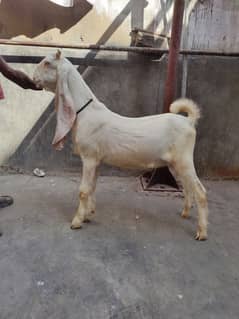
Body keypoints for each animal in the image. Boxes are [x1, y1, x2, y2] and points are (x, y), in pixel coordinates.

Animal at [33, 50, 207, 240]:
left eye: (47, 63)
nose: (33, 77)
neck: (85, 112)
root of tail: (189, 121)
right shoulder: (97, 160)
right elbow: (92, 187)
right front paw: (88, 214)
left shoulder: (89, 158)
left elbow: (84, 190)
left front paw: (77, 221)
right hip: (175, 163)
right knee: (188, 186)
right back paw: (185, 213)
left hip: (184, 160)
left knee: (200, 191)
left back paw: (202, 232)